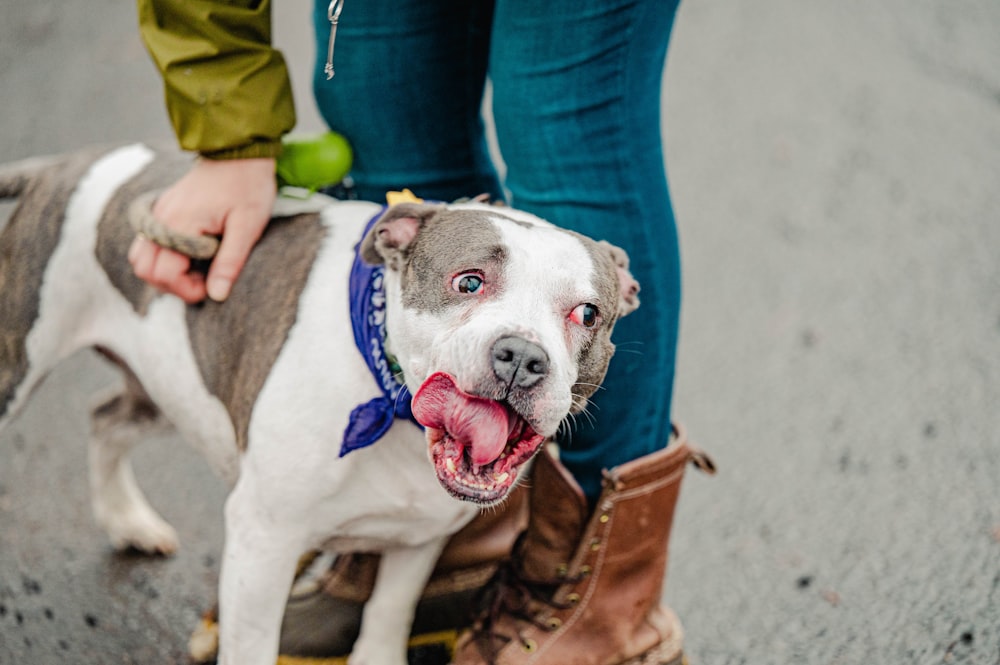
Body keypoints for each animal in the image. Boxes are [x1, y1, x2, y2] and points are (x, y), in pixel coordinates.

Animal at [0, 143, 640, 660]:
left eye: (588, 314)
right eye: (468, 281)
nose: (522, 356)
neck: (389, 399)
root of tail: (67, 162)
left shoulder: (419, 537)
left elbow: (388, 611)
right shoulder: (262, 542)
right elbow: (251, 648)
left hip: (164, 383)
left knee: (105, 417)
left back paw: (127, 520)